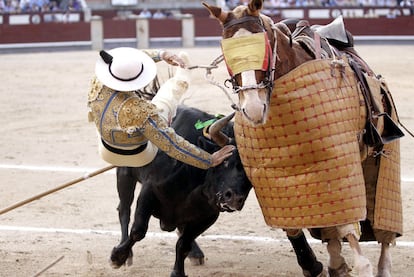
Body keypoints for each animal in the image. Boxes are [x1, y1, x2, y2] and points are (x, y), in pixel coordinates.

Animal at [110, 105, 251, 276]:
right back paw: (126, 253)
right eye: (226, 161)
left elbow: (183, 243)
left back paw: (195, 253)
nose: (235, 198)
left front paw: (178, 271)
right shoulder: (148, 192)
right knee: (123, 210)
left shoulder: (208, 216)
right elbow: (138, 230)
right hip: (124, 174)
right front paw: (118, 256)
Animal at [204, 0, 404, 276]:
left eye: (264, 47)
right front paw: (320, 264)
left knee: (381, 220)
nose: (252, 108)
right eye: (227, 55)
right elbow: (301, 225)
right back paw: (336, 261)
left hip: (381, 157)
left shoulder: (340, 164)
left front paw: (359, 265)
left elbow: (350, 227)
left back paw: (383, 265)